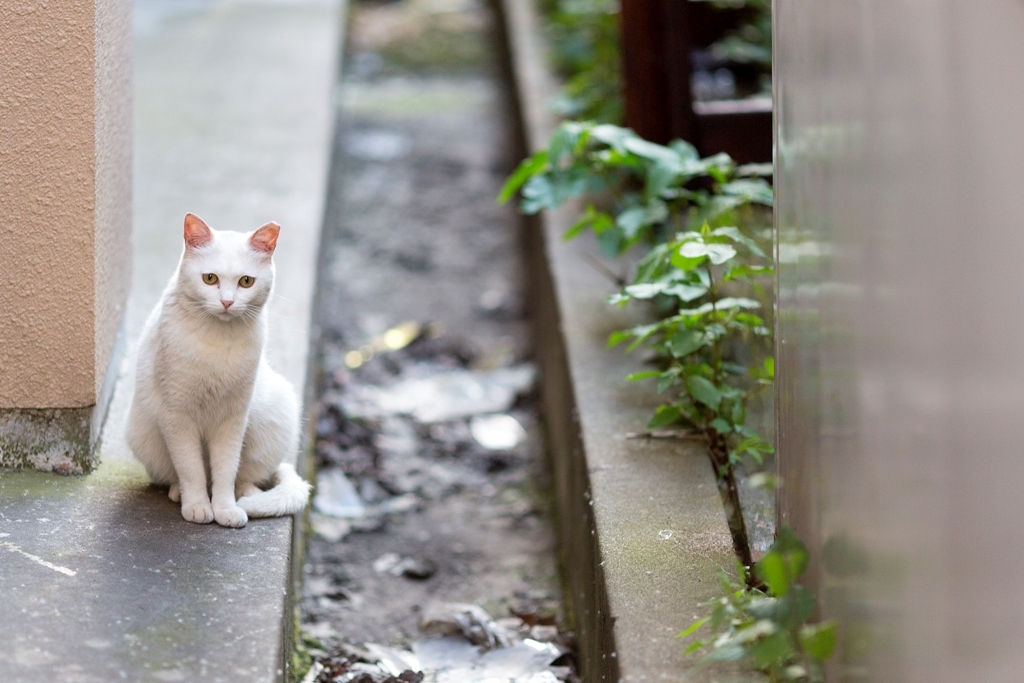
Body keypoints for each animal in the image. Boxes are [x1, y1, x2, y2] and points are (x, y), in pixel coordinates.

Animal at [125, 214, 307, 528]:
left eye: (246, 282)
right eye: (209, 278)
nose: (227, 302)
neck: (218, 342)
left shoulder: (232, 418)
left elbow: (225, 470)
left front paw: (225, 508)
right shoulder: (177, 416)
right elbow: (191, 469)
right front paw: (198, 505)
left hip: (276, 415)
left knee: (245, 475)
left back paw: (246, 496)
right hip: (142, 435)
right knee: (179, 475)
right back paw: (179, 494)